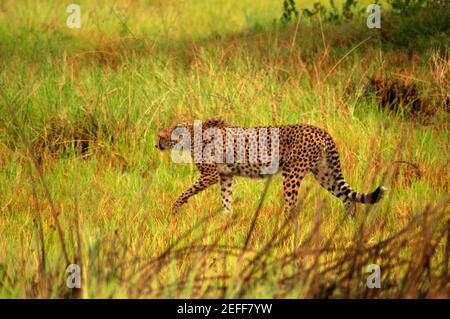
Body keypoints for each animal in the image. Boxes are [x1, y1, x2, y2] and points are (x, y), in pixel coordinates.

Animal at [156, 119, 384, 215]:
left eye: (160, 137)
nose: (155, 144)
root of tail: (319, 129)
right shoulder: (226, 175)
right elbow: (226, 197)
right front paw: (226, 219)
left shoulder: (211, 175)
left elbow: (186, 192)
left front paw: (174, 209)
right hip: (324, 174)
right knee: (347, 197)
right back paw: (348, 223)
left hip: (292, 174)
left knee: (291, 205)